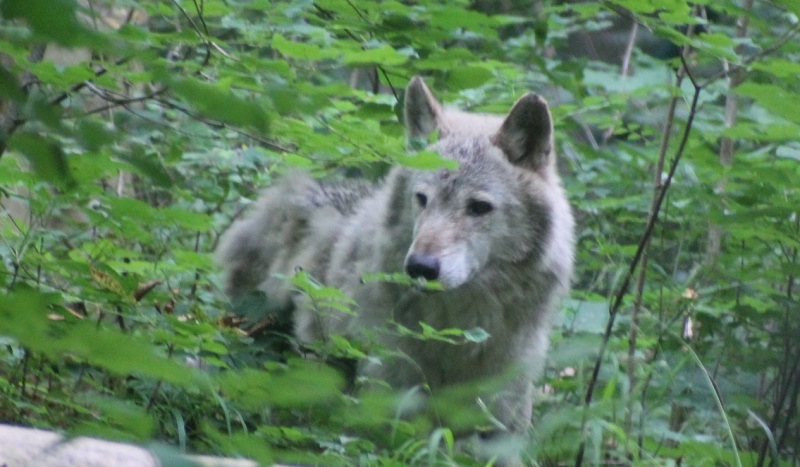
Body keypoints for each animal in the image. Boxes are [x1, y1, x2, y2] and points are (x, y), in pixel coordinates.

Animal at [217, 76, 574, 460]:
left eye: (479, 207)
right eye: (422, 199)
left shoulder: (501, 427)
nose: (420, 266)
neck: (456, 332)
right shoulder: (384, 407)